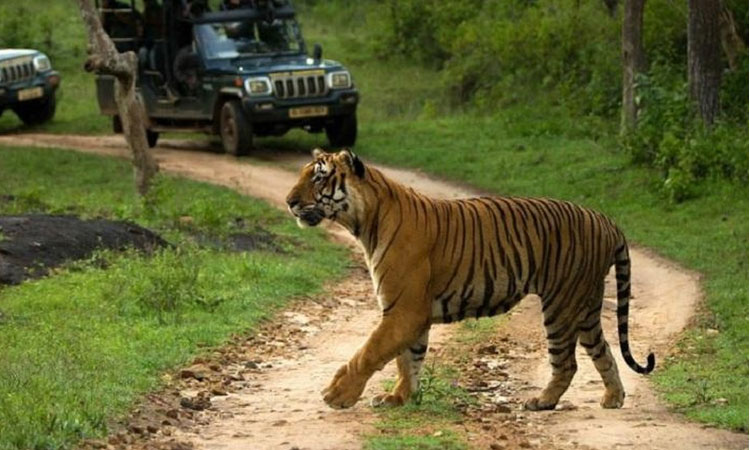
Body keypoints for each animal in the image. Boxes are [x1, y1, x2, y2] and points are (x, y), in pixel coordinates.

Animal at [285, 148, 655, 410]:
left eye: (318, 178)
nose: (289, 202)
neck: (365, 222)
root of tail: (606, 219)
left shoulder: (404, 310)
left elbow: (370, 352)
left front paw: (338, 394)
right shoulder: (408, 312)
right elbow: (408, 359)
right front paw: (400, 398)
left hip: (562, 303)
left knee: (566, 362)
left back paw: (542, 401)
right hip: (586, 304)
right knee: (603, 350)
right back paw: (613, 398)